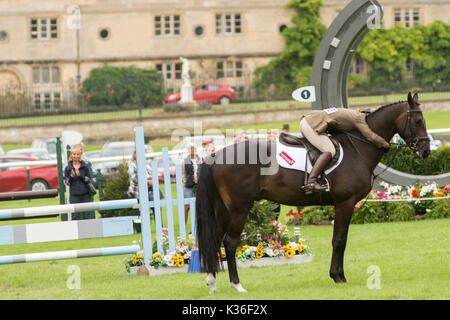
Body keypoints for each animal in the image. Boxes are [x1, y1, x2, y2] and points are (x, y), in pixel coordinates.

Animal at [195, 92, 430, 292]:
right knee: (230, 243)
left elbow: (339, 239)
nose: (425, 151)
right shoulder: (345, 203)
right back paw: (237, 285)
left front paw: (336, 275)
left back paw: (212, 283)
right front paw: (338, 276)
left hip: (224, 209)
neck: (358, 147)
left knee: (216, 240)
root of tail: (216, 156)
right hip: (239, 209)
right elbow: (339, 241)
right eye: (418, 121)